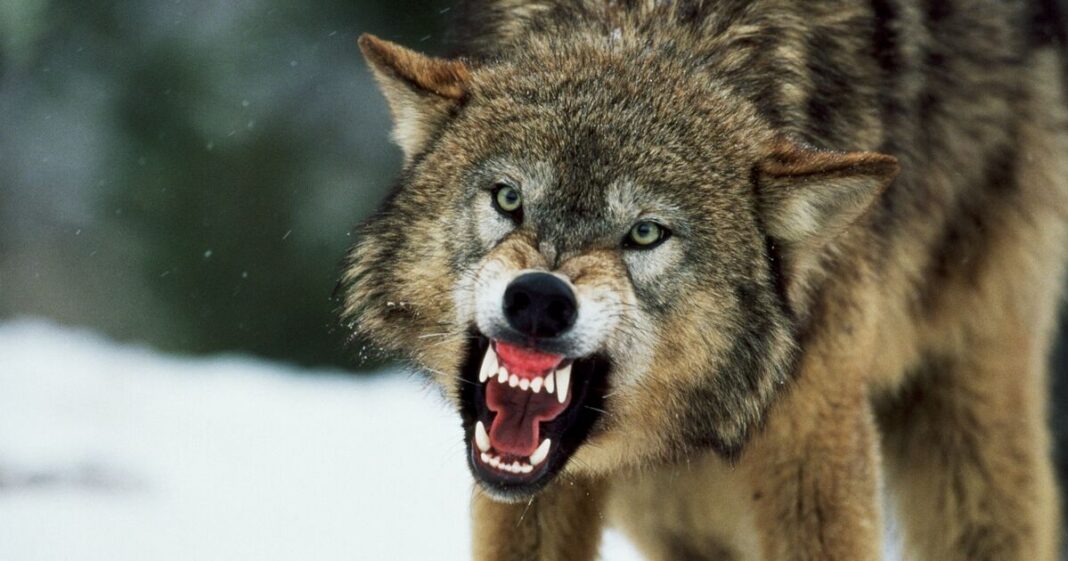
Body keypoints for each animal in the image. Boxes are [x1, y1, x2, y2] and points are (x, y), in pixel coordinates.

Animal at [341, 1, 1068, 559]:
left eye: (645, 233)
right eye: (509, 197)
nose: (540, 299)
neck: (655, 24)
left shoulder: (814, 447)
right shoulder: (529, 489)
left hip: (967, 416)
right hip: (666, 508)